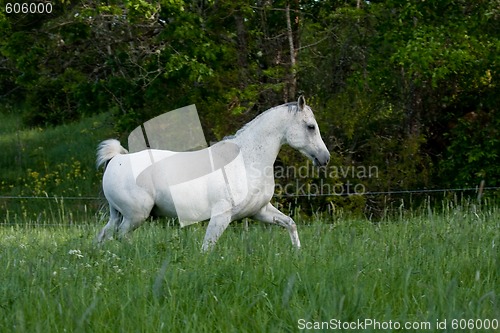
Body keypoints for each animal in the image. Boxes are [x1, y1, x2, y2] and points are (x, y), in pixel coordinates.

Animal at [97, 94, 332, 250]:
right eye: (311, 126)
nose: (325, 158)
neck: (247, 160)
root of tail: (117, 159)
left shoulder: (261, 211)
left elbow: (290, 224)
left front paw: (298, 253)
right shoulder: (221, 216)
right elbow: (207, 248)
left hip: (118, 214)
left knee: (104, 235)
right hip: (135, 216)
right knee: (120, 236)